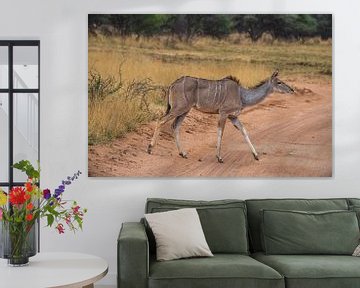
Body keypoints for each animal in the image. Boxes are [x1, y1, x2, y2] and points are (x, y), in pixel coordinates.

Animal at [148, 70, 294, 163]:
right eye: (279, 82)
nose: (292, 90)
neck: (242, 95)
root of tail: (172, 85)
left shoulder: (233, 117)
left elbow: (244, 131)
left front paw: (256, 156)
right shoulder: (223, 113)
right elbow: (220, 132)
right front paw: (219, 158)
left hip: (184, 110)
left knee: (175, 126)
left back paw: (183, 153)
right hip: (179, 108)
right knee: (161, 120)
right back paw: (150, 149)